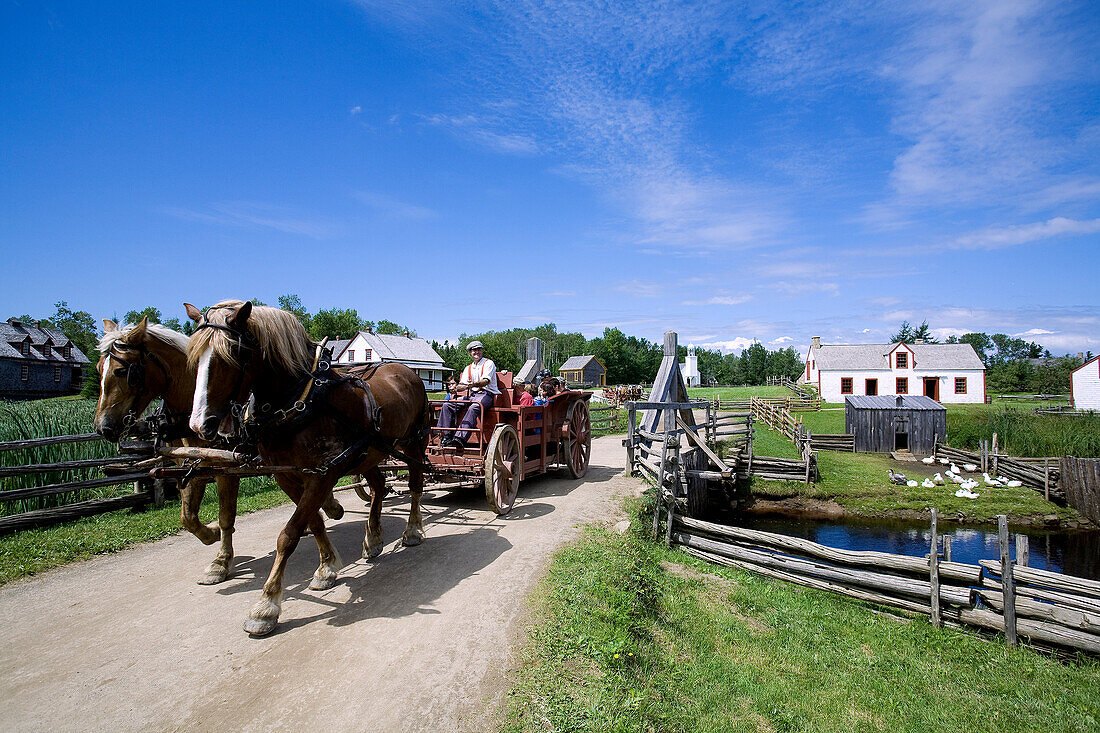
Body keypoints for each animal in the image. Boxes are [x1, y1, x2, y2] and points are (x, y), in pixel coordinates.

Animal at [187, 297, 431, 633]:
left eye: (234, 353)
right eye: (194, 355)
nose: (200, 425)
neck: (303, 401)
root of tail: (405, 370)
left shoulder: (323, 474)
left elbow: (288, 535)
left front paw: (266, 604)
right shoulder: (288, 476)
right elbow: (313, 522)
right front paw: (327, 567)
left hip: (413, 442)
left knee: (416, 483)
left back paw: (412, 530)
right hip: (369, 452)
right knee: (379, 487)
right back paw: (373, 538)